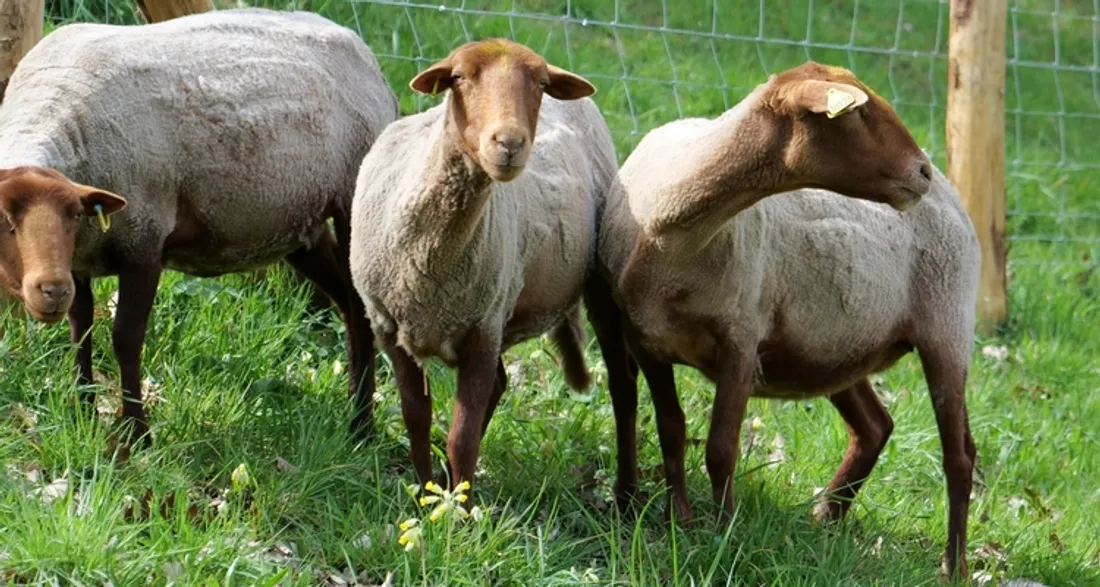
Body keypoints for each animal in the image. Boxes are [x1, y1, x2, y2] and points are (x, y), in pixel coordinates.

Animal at [0, 8, 400, 444]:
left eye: (73, 214)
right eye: (5, 221)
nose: (50, 292)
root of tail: (359, 46)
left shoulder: (144, 242)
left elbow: (125, 339)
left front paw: (137, 434)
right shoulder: (77, 261)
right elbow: (80, 331)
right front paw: (84, 412)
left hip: (353, 200)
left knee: (360, 310)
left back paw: (361, 427)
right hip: (300, 224)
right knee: (345, 302)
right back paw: (356, 416)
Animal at [349, 38, 626, 494]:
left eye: (542, 84)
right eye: (459, 77)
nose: (510, 143)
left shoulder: (483, 328)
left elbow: (462, 438)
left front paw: (459, 507)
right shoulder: (389, 326)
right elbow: (416, 419)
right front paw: (425, 495)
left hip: (589, 289)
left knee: (623, 390)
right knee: (500, 383)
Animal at [596, 62, 981, 577]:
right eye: (856, 113)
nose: (920, 170)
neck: (673, 236)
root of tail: (952, 192)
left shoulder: (741, 338)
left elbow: (721, 449)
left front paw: (722, 534)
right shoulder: (645, 340)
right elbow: (672, 431)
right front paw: (681, 520)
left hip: (947, 322)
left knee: (959, 455)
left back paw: (953, 564)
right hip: (838, 348)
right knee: (875, 426)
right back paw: (827, 516)